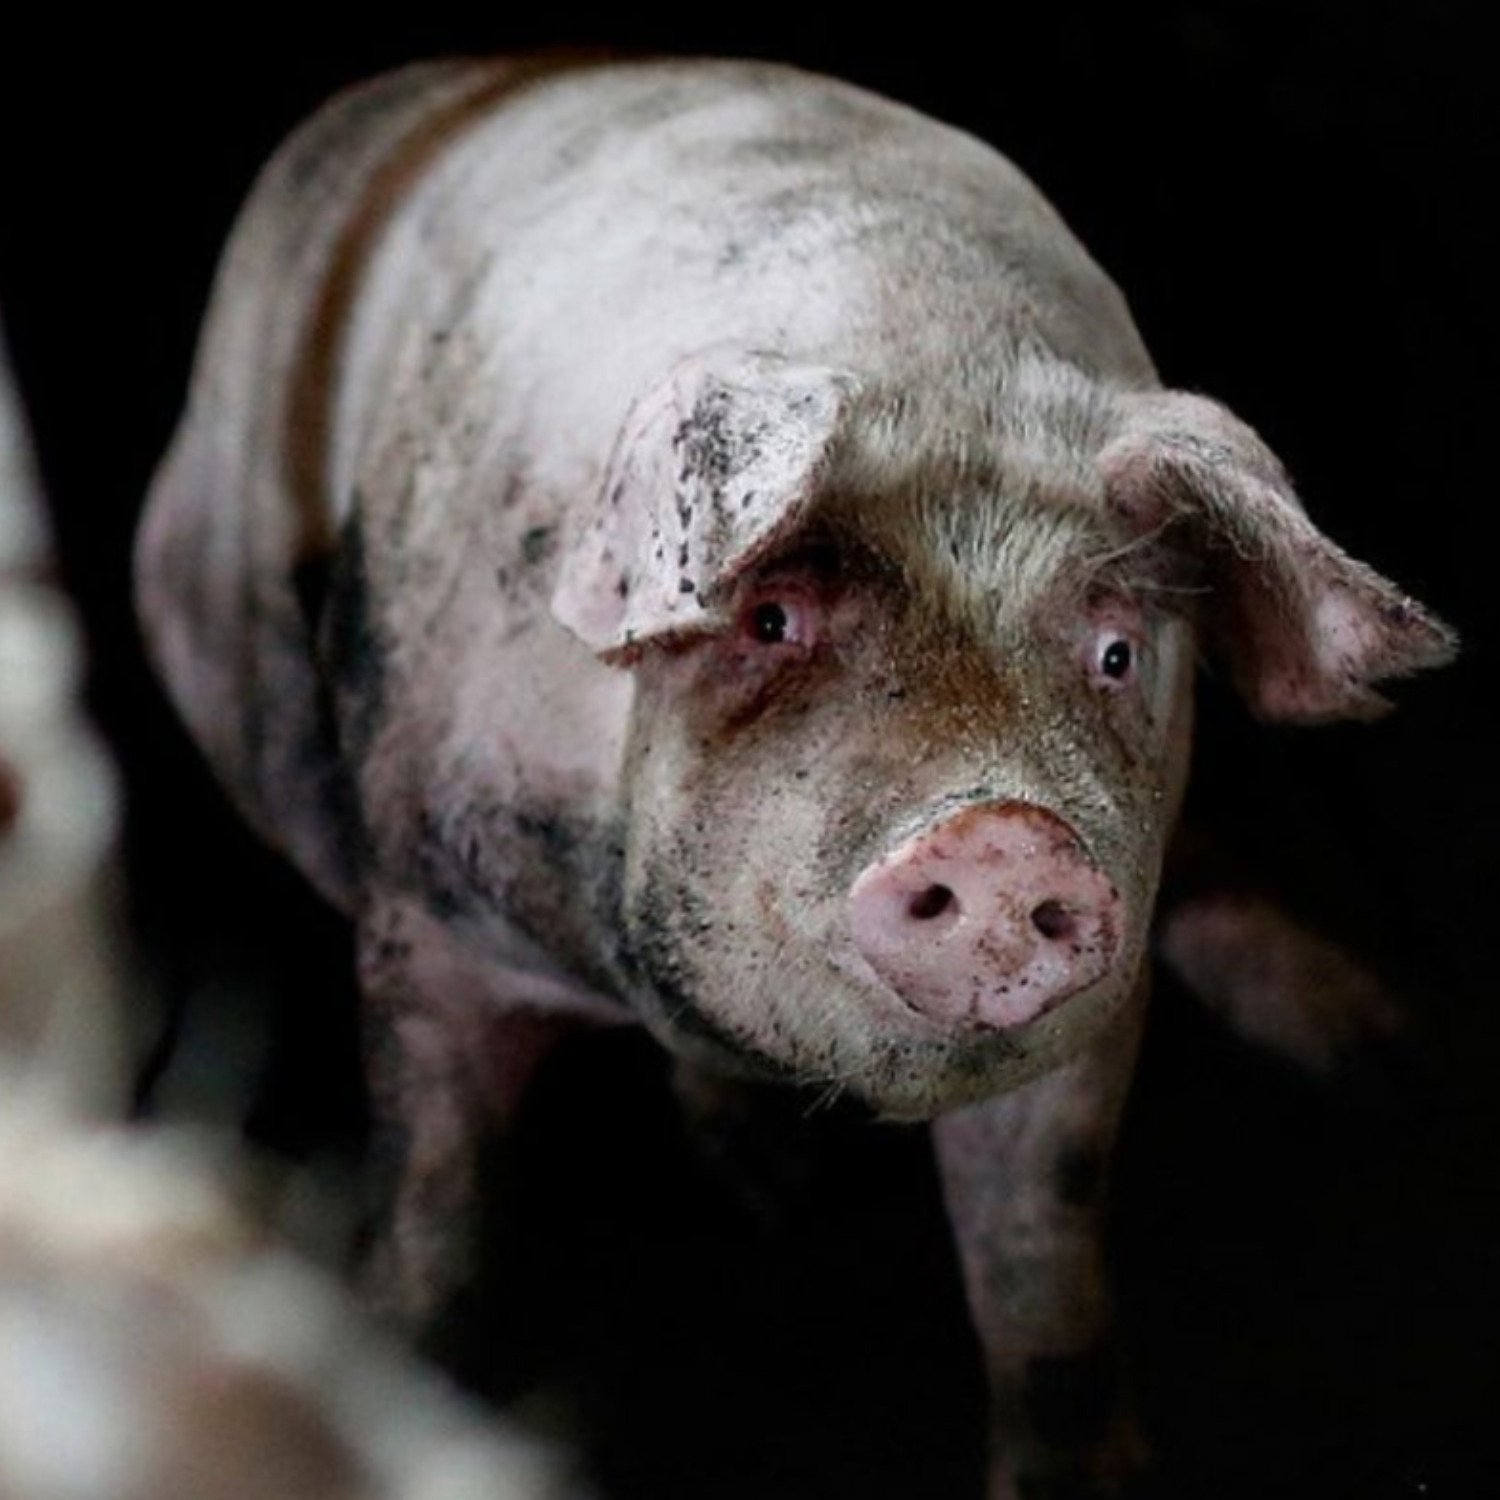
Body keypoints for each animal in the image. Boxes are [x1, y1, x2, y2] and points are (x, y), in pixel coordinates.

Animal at [134, 53, 1456, 1499]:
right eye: (770, 619)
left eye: (1115, 651)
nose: (1001, 830)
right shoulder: (425, 925)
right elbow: (436, 1207)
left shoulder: (1092, 1019)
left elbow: (1040, 1270)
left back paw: (1384, 1058)